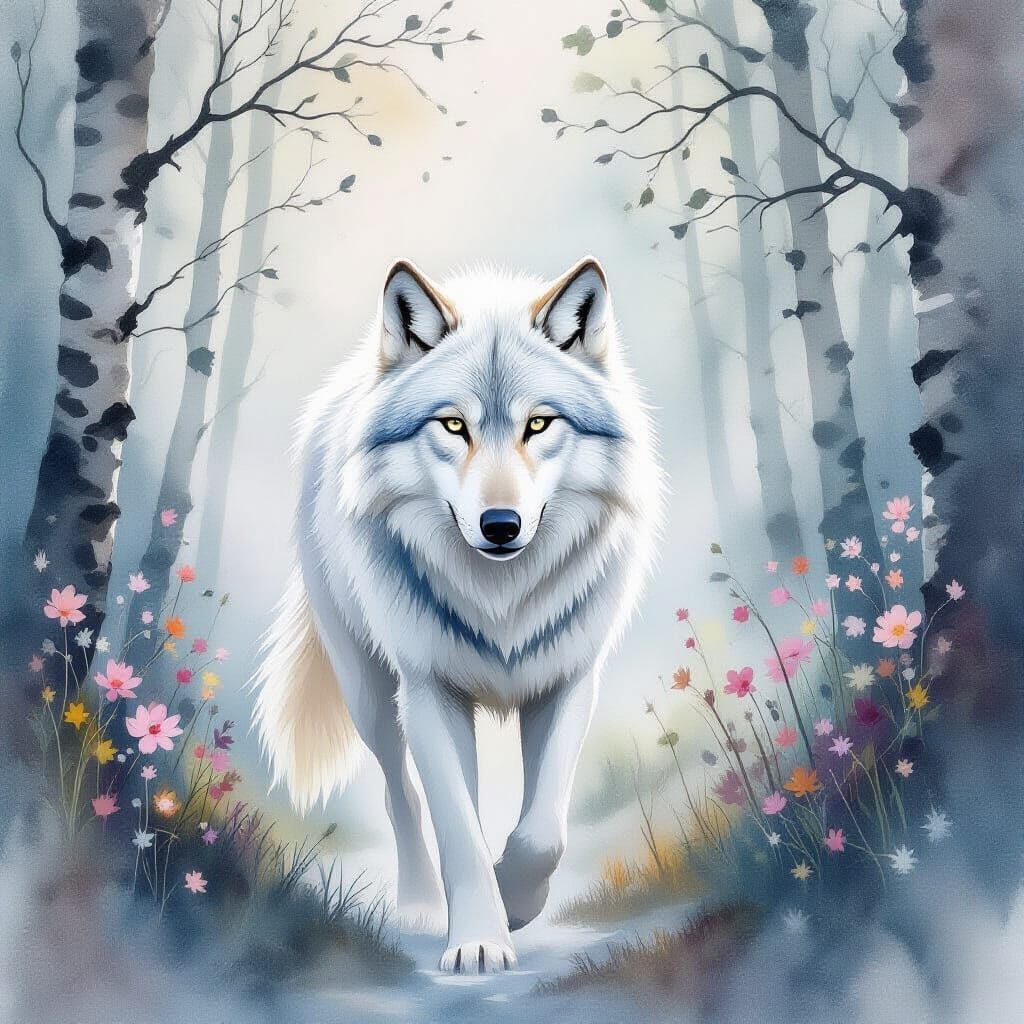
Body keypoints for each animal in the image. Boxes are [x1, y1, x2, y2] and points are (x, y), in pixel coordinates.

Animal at [253, 256, 660, 973]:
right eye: (452, 426)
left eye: (538, 424)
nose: (500, 525)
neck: (501, 600)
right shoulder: (430, 693)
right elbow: (459, 830)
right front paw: (477, 941)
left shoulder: (568, 682)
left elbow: (542, 832)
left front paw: (516, 902)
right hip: (369, 691)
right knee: (401, 795)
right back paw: (419, 901)